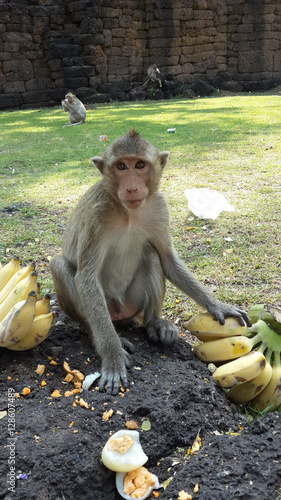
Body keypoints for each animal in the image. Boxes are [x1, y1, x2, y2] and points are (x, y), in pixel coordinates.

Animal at [50, 128, 249, 394]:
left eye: (140, 165)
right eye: (121, 166)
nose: (132, 188)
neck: (129, 212)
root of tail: (121, 314)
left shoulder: (159, 206)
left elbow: (167, 258)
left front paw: (217, 306)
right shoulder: (96, 215)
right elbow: (87, 276)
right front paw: (112, 357)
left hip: (133, 303)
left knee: (150, 254)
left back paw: (155, 323)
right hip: (107, 310)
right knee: (60, 266)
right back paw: (100, 335)